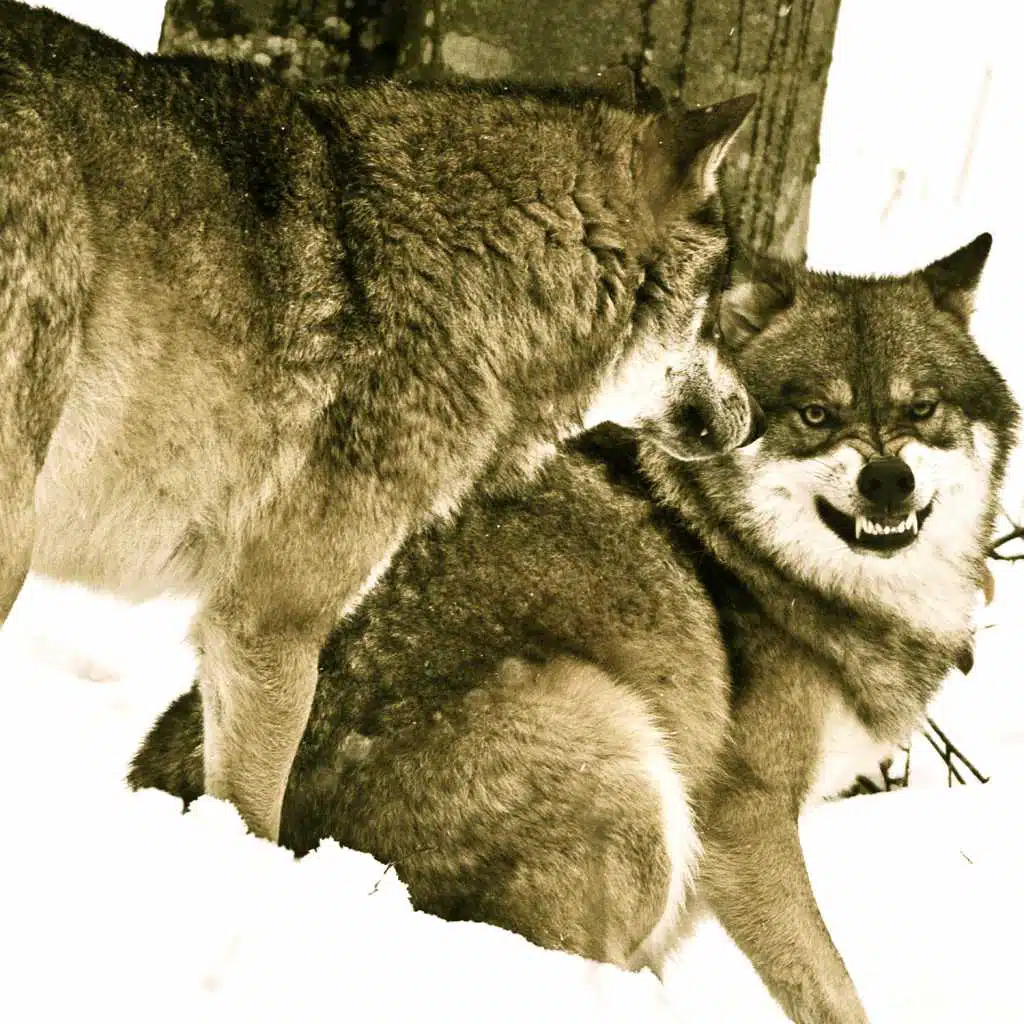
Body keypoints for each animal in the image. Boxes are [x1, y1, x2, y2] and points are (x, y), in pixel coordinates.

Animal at [130, 231, 1018, 1020]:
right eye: (816, 414)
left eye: (923, 409)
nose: (887, 480)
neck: (746, 557)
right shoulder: (744, 816)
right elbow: (830, 985)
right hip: (620, 746)